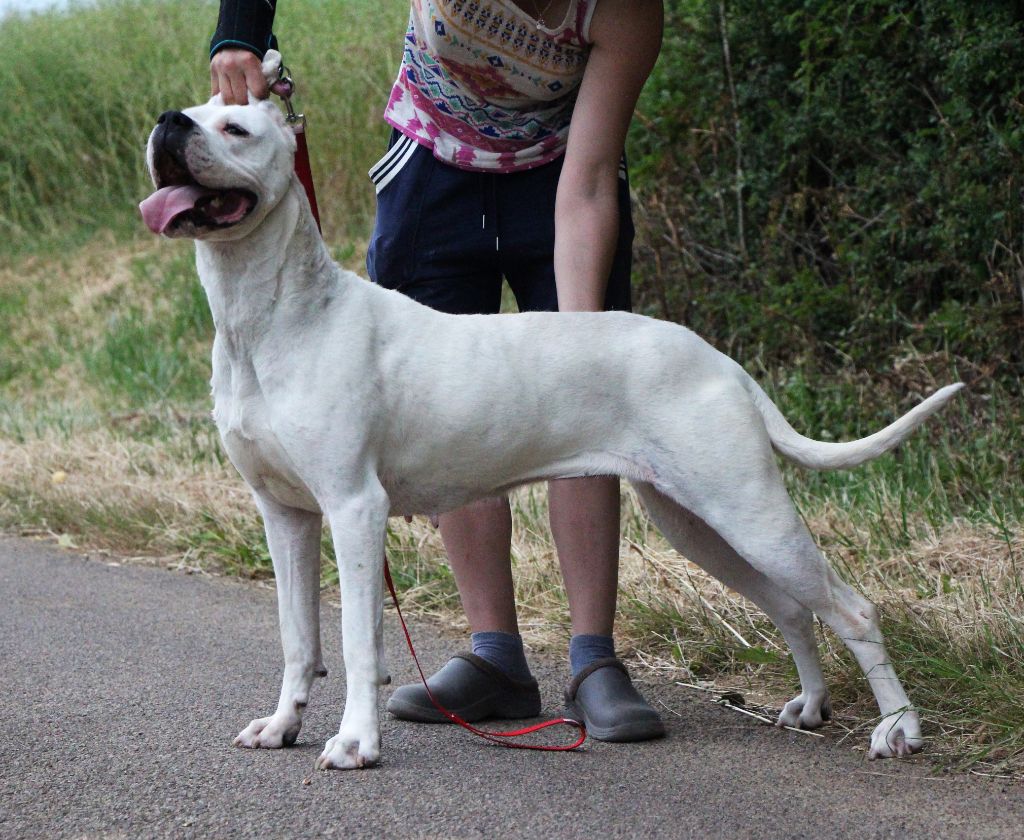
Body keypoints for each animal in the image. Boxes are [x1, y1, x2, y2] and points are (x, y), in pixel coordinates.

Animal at [140, 55, 962, 770]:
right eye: (194, 112)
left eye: (235, 129)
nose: (166, 124)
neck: (270, 319)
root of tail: (721, 361)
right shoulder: (285, 514)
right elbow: (296, 640)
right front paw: (282, 726)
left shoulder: (353, 509)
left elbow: (356, 644)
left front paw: (356, 744)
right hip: (698, 521)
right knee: (793, 609)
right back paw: (811, 707)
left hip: (747, 512)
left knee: (853, 610)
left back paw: (898, 730)